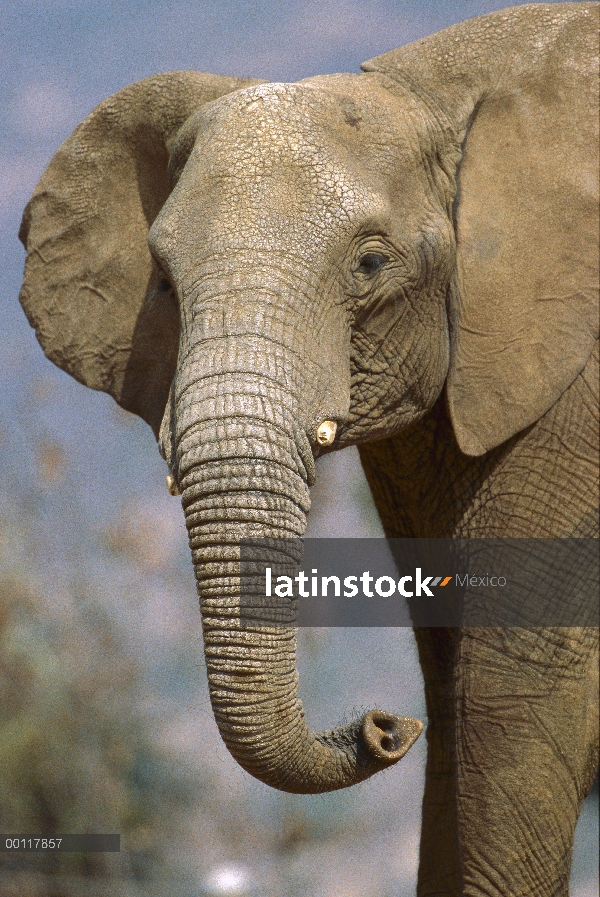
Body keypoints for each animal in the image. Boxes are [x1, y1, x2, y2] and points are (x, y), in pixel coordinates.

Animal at [18, 3, 600, 892]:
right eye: (163, 280)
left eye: (371, 263)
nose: (387, 725)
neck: (438, 89)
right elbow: (453, 671)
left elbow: (513, 681)